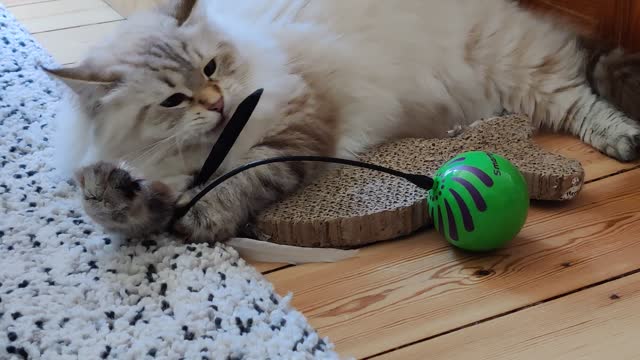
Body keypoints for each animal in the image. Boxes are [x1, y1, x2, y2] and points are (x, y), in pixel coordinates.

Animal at [43, 0, 640, 245]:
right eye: (172, 100)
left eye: (211, 68)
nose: (215, 104)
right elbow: (132, 211)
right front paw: (107, 191)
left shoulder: (295, 128)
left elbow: (238, 180)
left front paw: (204, 218)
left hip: (520, 71)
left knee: (583, 97)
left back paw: (625, 137)